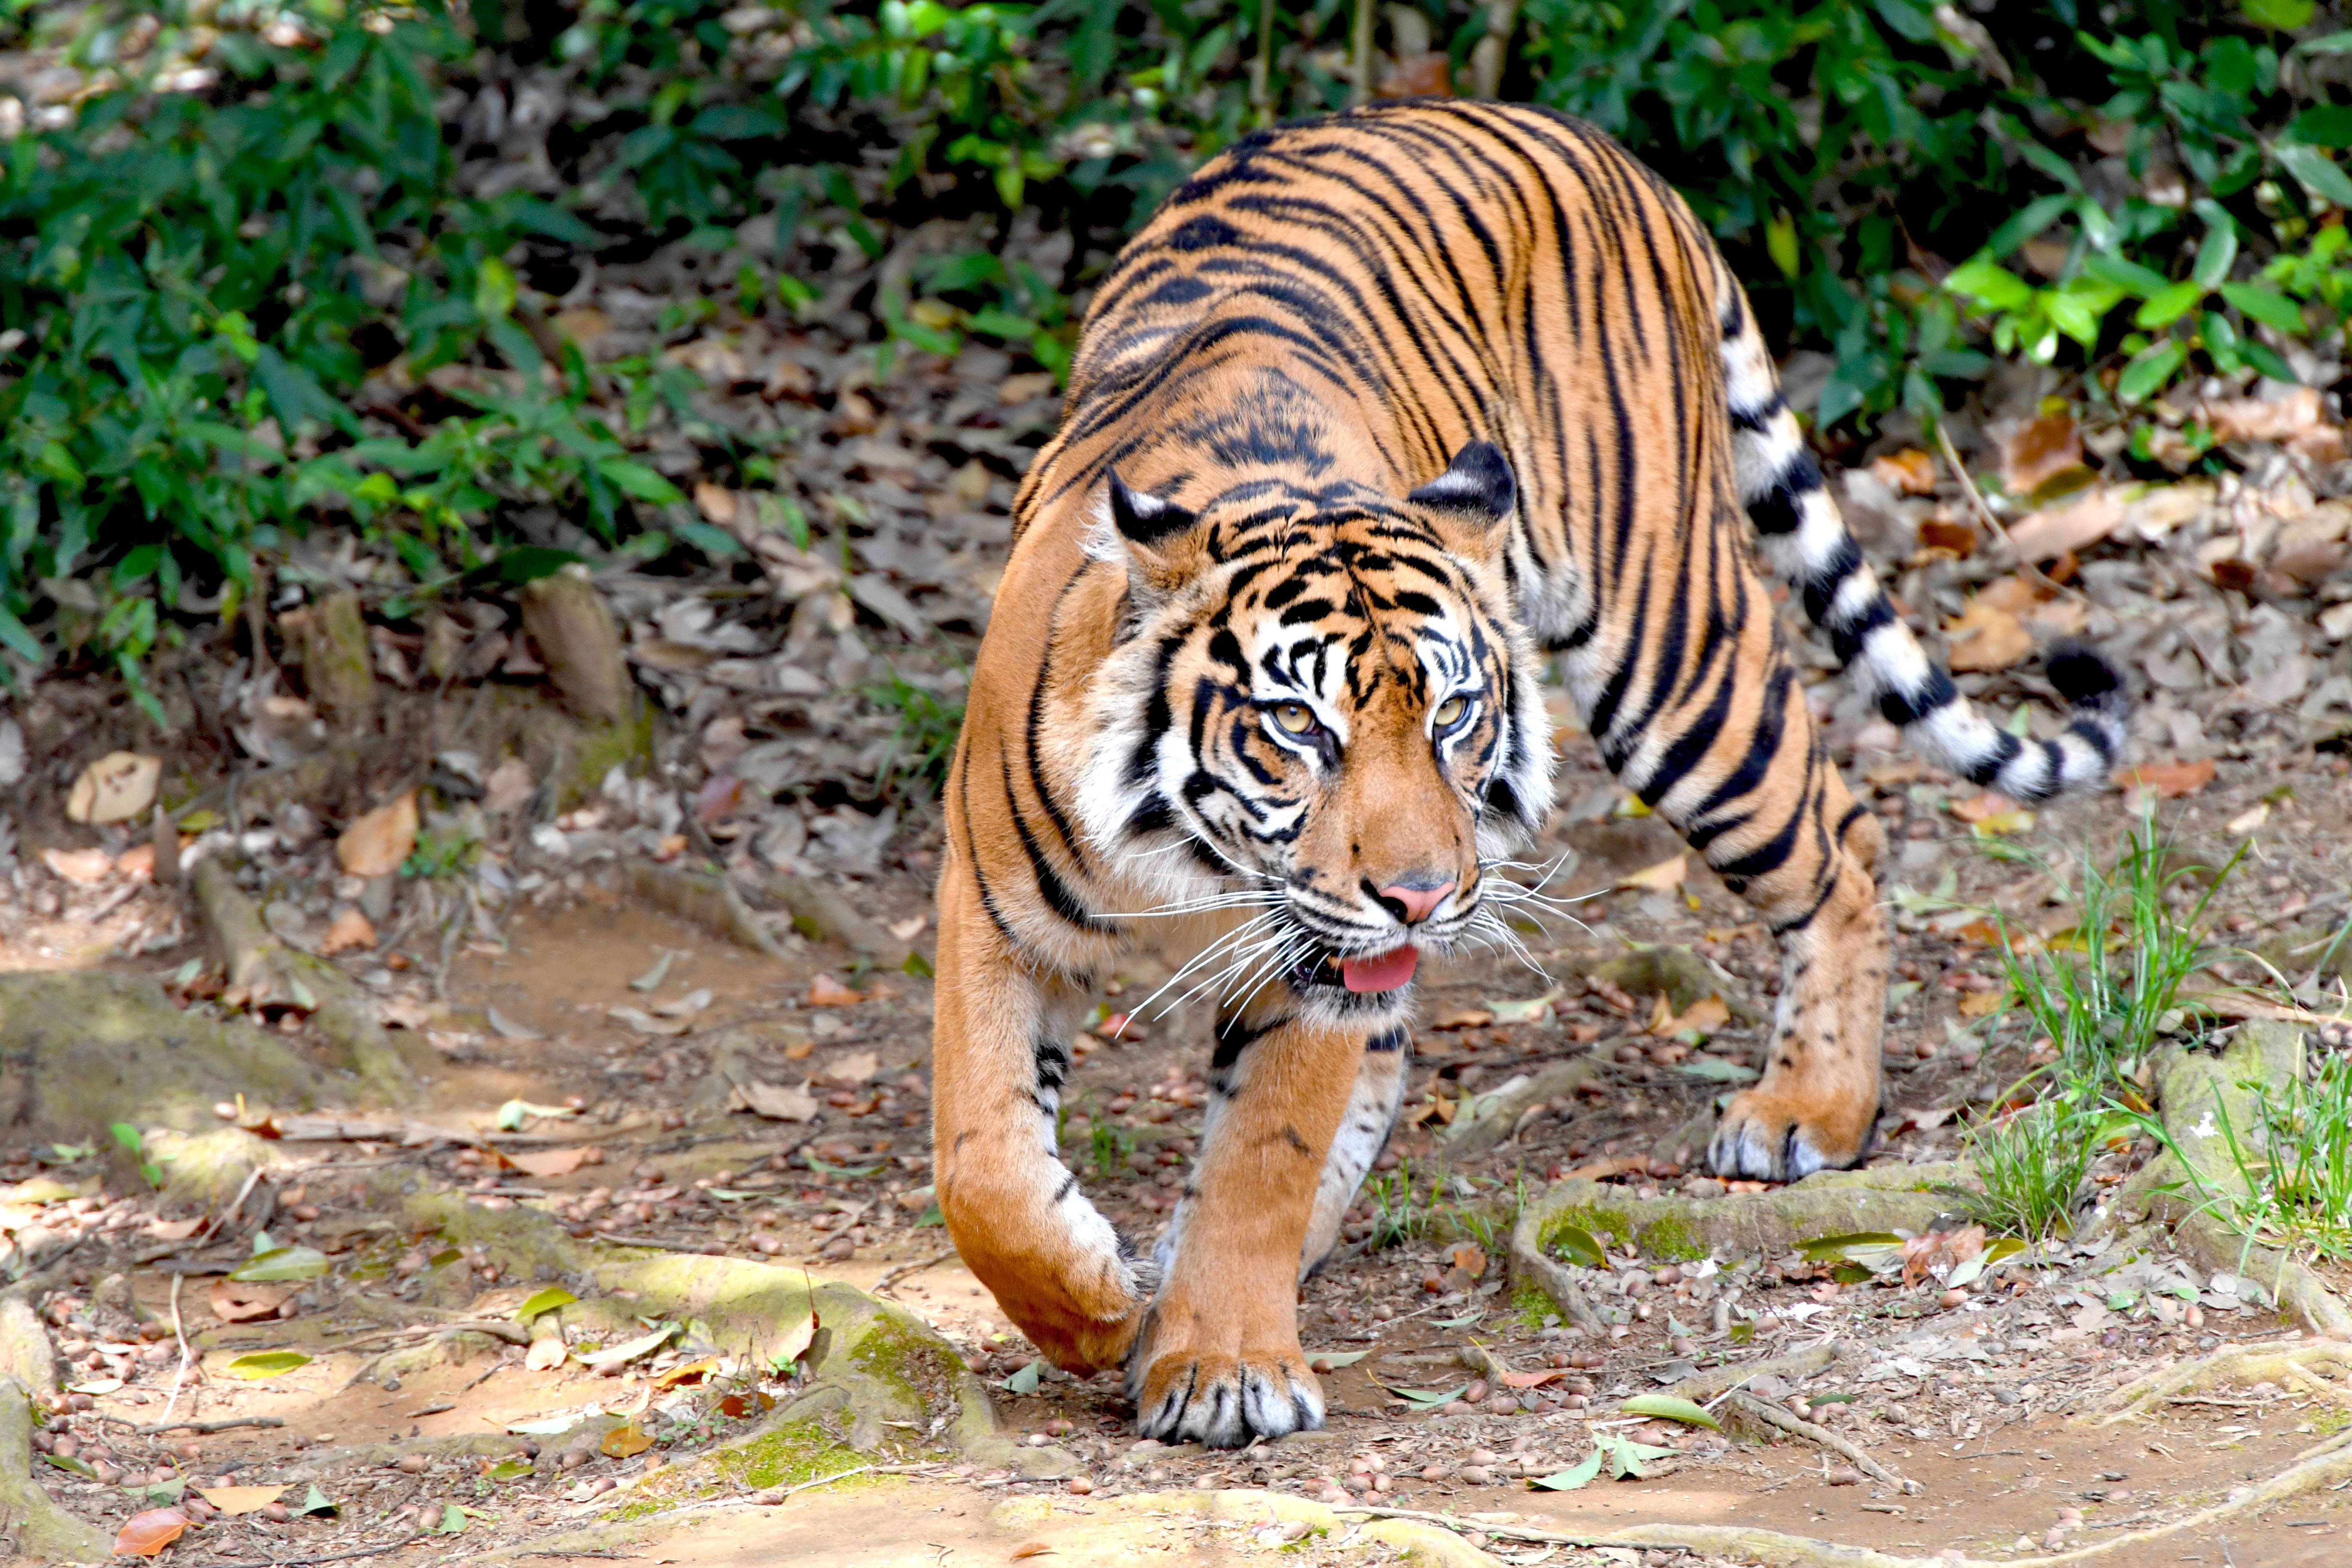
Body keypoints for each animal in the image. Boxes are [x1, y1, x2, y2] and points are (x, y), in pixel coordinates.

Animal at [922, 98, 2135, 1448]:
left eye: (1452, 713)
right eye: (1298, 725)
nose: (1418, 894)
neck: (1187, 851)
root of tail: (1591, 142)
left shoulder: (1316, 959)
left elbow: (1260, 1156)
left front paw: (1221, 1362)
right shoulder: (991, 905)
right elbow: (984, 1164)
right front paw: (1095, 1303)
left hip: (1673, 651)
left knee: (1838, 837)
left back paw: (1809, 1107)